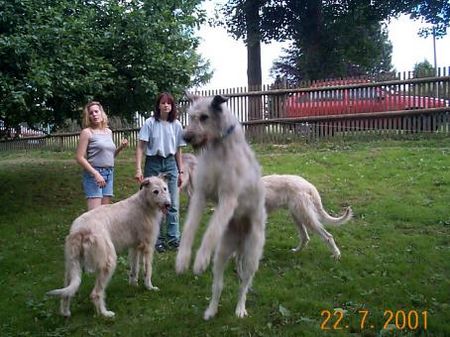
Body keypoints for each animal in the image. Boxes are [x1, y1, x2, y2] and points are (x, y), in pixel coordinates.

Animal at [47, 176, 171, 318]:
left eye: (165, 188)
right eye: (155, 191)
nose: (168, 204)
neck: (145, 203)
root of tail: (79, 230)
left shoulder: (134, 247)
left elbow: (134, 268)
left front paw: (133, 285)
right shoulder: (148, 247)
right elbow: (147, 270)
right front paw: (150, 287)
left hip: (72, 265)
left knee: (66, 293)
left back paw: (66, 313)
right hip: (108, 261)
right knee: (96, 293)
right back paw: (105, 314)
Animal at [176, 94, 268, 318]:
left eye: (204, 117)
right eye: (191, 116)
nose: (185, 137)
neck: (219, 148)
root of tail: (241, 240)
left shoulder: (228, 198)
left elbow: (211, 230)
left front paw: (200, 259)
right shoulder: (200, 195)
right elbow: (189, 228)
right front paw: (183, 259)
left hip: (252, 255)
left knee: (244, 285)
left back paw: (240, 308)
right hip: (222, 253)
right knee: (218, 285)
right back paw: (211, 310)